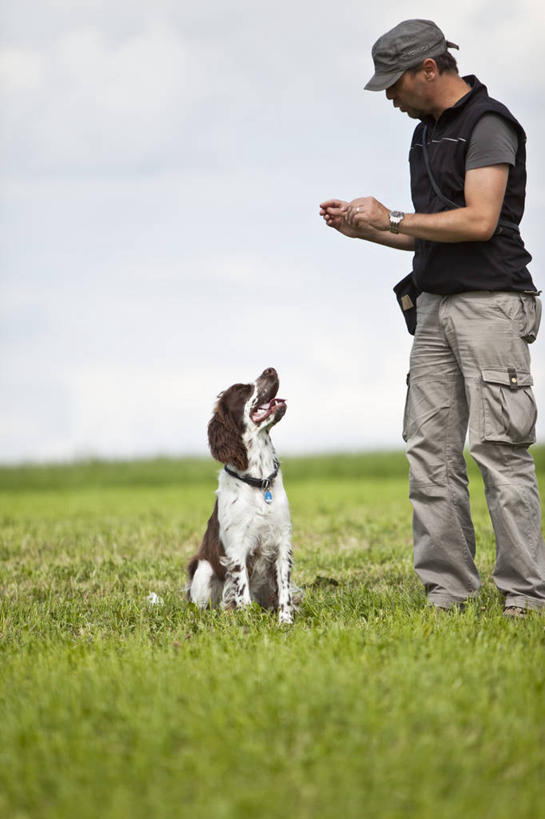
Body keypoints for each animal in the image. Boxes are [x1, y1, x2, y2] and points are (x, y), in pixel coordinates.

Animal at [187, 368, 298, 624]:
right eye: (241, 389)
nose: (271, 369)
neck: (259, 483)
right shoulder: (237, 547)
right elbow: (242, 592)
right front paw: (248, 622)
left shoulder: (282, 541)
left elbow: (284, 589)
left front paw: (285, 621)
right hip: (203, 569)